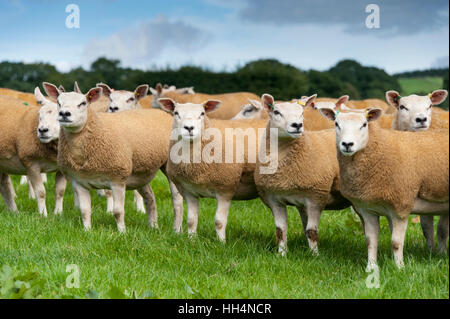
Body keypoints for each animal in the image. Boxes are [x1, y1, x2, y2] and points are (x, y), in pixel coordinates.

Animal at [42, 82, 183, 232]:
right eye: (58, 102)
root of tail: (161, 113)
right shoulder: (78, 181)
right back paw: (153, 226)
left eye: (83, 103)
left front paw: (122, 233)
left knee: (177, 200)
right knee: (150, 197)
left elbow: (118, 211)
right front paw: (87, 231)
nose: (64, 114)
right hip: (141, 170)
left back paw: (177, 229)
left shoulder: (118, 179)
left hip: (169, 164)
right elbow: (85, 211)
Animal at [157, 97, 268, 242]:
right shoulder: (189, 191)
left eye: (202, 113)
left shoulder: (225, 188)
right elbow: (191, 220)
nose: (189, 128)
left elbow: (219, 221)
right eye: (176, 113)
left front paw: (221, 243)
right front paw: (191, 240)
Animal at [253, 94, 352, 256]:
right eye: (276, 112)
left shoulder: (316, 197)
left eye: (301, 113)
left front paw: (315, 256)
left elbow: (311, 231)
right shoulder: (274, 199)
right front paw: (282, 254)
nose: (297, 125)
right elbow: (280, 230)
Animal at [318, 108, 448, 270]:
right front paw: (371, 267)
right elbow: (370, 240)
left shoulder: (401, 205)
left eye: (364, 124)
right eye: (336, 124)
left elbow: (396, 242)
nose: (347, 144)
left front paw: (399, 268)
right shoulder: (367, 209)